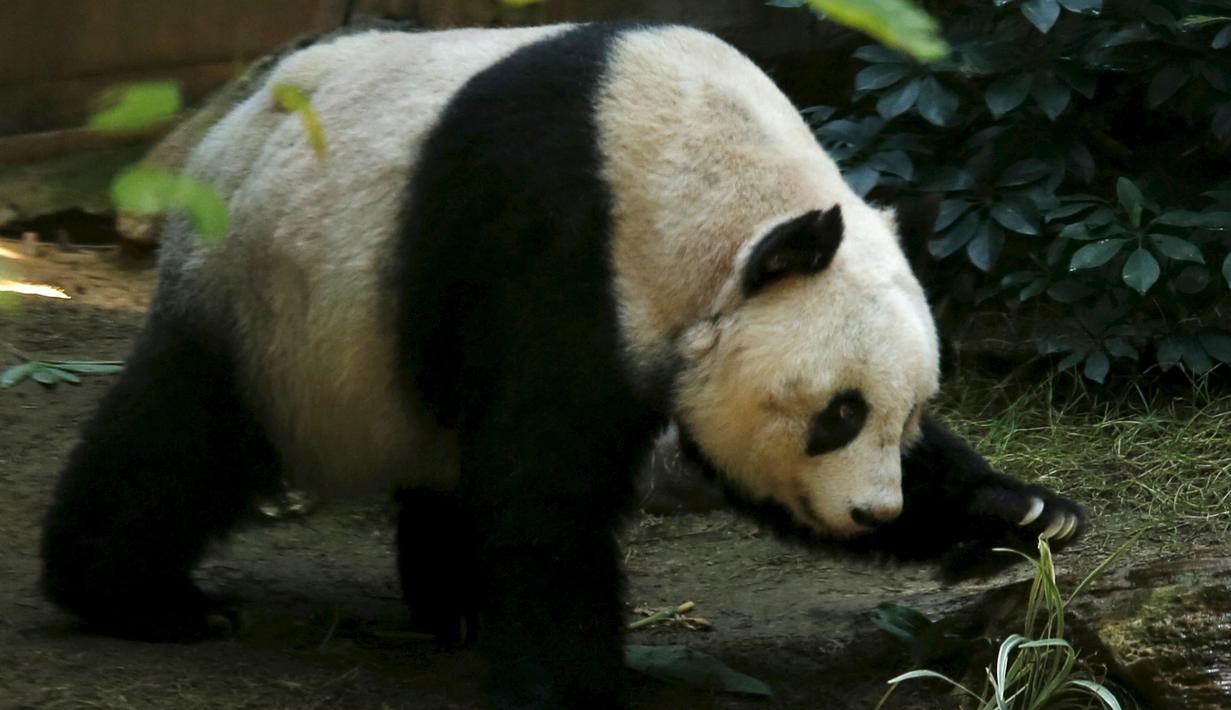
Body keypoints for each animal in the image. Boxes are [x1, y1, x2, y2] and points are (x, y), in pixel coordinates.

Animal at [41, 23, 1084, 709]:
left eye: (904, 418)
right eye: (837, 412)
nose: (874, 512)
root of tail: (236, 114)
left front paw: (1023, 513)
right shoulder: (559, 249)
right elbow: (545, 485)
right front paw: (572, 679)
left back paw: (456, 607)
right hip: (268, 300)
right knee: (185, 437)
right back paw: (141, 597)